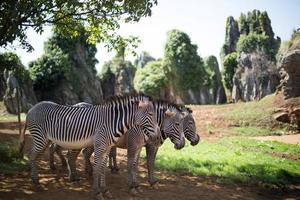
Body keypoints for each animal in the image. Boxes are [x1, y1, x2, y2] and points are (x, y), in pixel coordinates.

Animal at [19, 94, 162, 200]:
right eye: (150, 115)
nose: (158, 138)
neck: (112, 122)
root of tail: (31, 109)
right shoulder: (100, 146)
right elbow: (97, 169)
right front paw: (97, 192)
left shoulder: (107, 148)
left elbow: (103, 169)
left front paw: (105, 190)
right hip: (40, 137)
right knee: (31, 155)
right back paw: (36, 183)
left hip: (45, 140)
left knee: (36, 157)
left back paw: (37, 179)